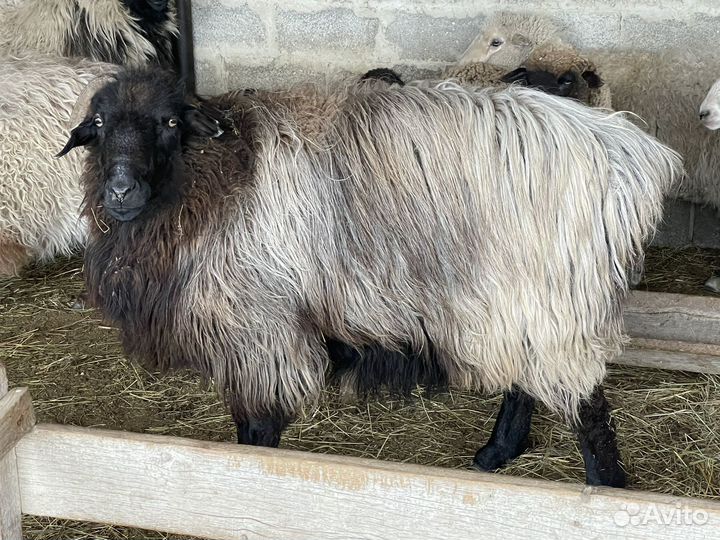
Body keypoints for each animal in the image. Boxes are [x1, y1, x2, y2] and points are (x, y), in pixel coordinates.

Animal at [60, 68, 681, 485]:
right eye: (98, 124)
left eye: (168, 122)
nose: (120, 190)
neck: (212, 178)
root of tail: (631, 153)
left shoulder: (259, 332)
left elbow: (256, 430)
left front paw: (256, 476)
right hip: (521, 302)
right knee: (526, 381)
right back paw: (497, 452)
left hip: (555, 298)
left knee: (586, 406)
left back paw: (605, 487)